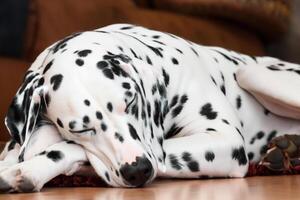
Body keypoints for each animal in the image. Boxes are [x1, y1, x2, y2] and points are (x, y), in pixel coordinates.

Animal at [0, 23, 300, 194]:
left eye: (131, 102)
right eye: (82, 129)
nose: (138, 170)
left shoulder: (224, 140)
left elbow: (67, 150)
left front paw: (28, 170)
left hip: (252, 73)